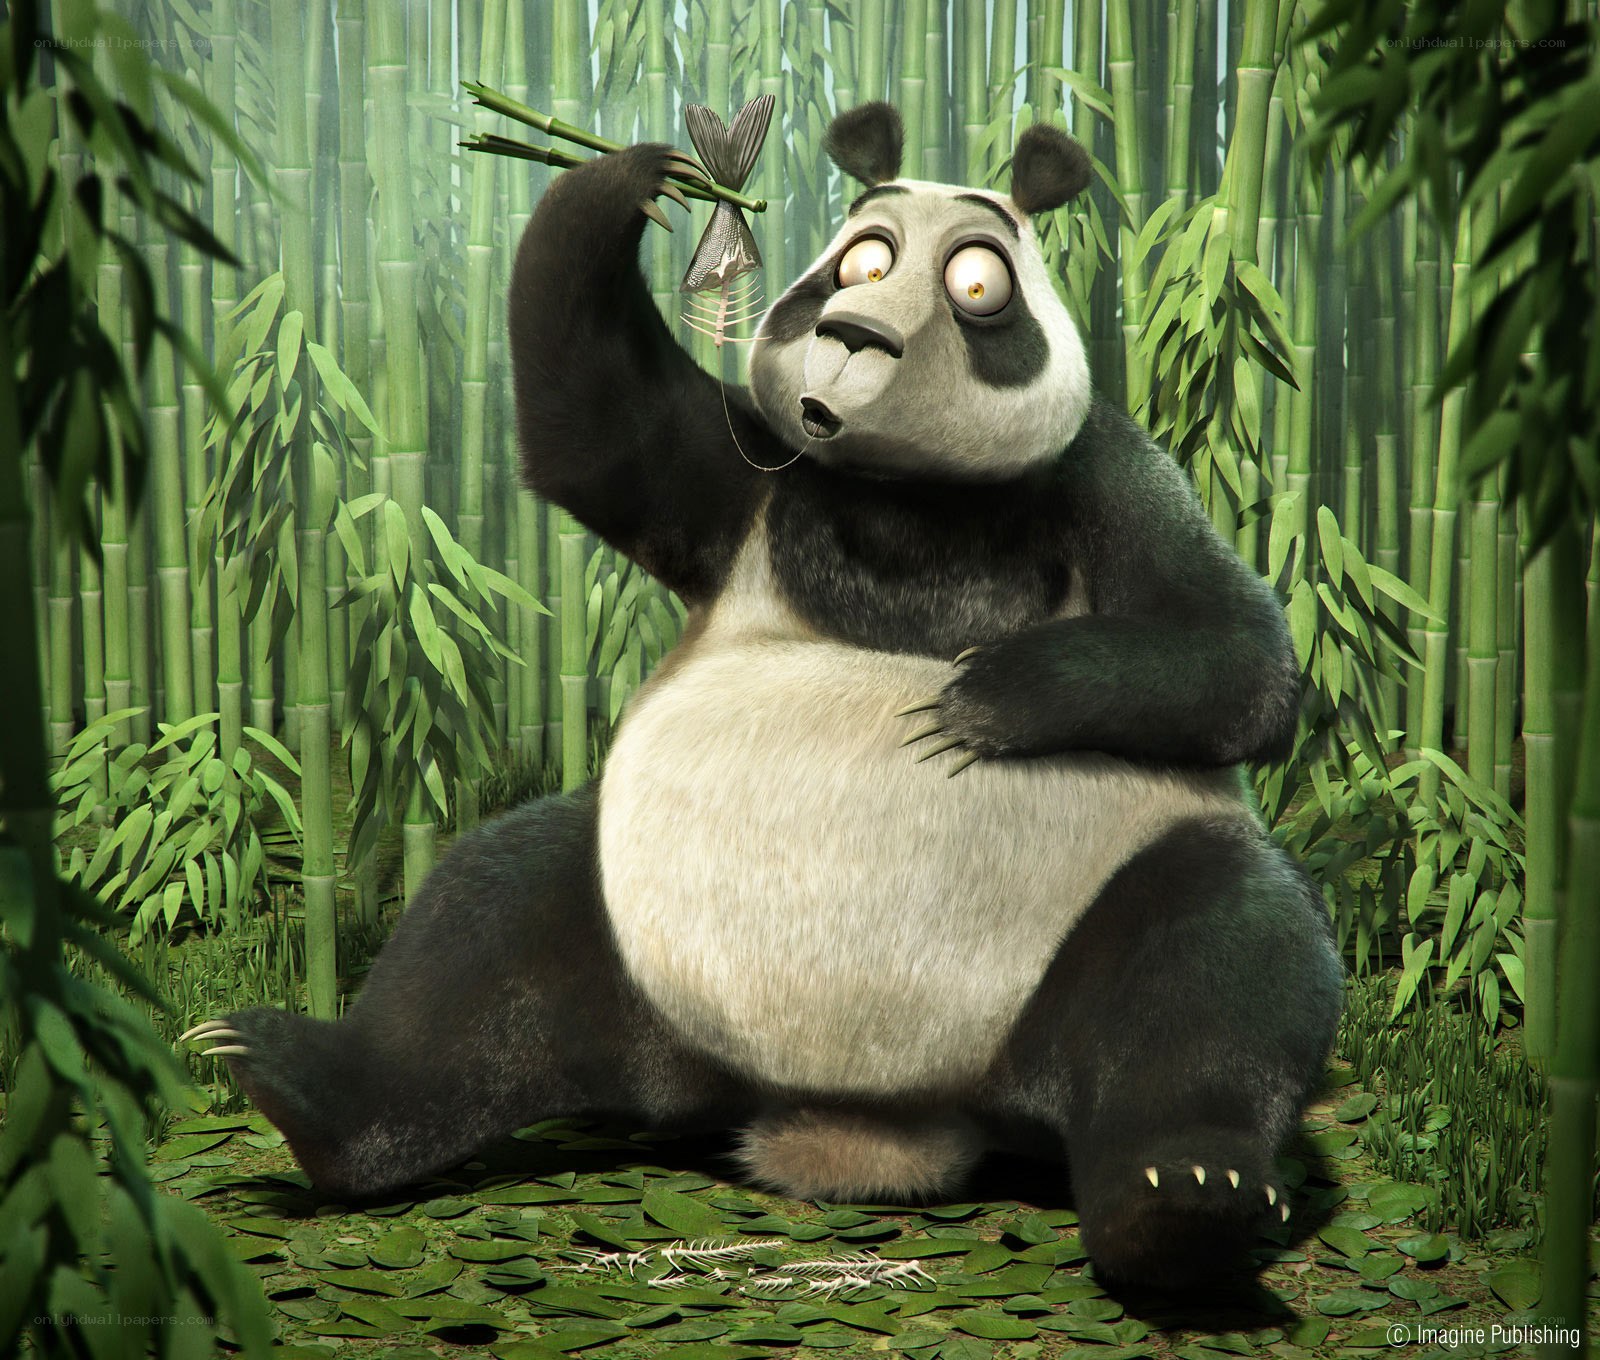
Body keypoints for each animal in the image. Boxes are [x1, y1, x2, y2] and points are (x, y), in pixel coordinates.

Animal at [197, 102, 1342, 1290]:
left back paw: (1182, 1198)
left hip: (1099, 911)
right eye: (860, 259)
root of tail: (869, 1120)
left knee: (1220, 966)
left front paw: (982, 697)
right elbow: (593, 429)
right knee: (485, 926)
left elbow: (1239, 657)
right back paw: (301, 1080)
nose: (855, 334)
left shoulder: (1100, 472)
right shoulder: (755, 473)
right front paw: (632, 176)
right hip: (631, 925)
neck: (908, 498)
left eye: (977, 282)